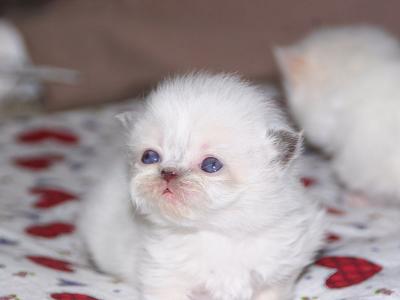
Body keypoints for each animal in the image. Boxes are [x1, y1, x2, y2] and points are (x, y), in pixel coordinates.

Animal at [78, 72, 324, 300]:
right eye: (149, 157)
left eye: (211, 165)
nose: (168, 172)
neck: (217, 232)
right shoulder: (164, 279)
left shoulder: (277, 278)